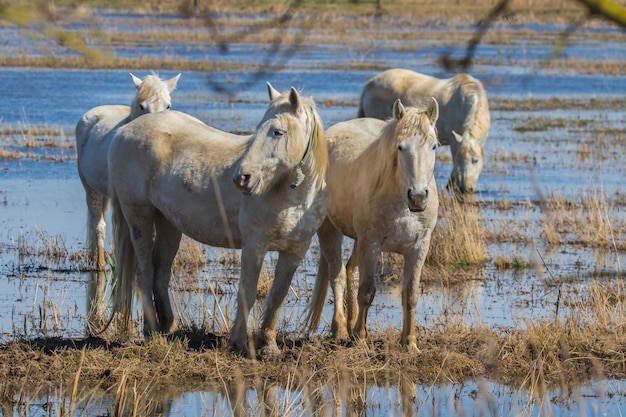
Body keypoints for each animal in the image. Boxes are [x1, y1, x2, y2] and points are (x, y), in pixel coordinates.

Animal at [106, 83, 326, 356]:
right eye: (259, 129)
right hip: (139, 217)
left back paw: (170, 327)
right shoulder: (254, 246)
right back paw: (152, 333)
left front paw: (269, 346)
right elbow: (248, 292)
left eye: (278, 132)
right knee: (144, 271)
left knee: (161, 272)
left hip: (168, 224)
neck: (292, 197)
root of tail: (123, 132)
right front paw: (240, 343)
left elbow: (278, 295)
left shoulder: (295, 251)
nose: (242, 178)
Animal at [304, 97, 436, 352]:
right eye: (400, 147)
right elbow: (367, 291)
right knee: (337, 274)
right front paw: (361, 338)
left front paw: (410, 343)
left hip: (359, 241)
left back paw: (351, 323)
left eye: (434, 146)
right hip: (330, 231)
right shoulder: (371, 244)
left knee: (350, 269)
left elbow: (411, 294)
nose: (417, 197)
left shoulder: (419, 247)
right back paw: (341, 329)